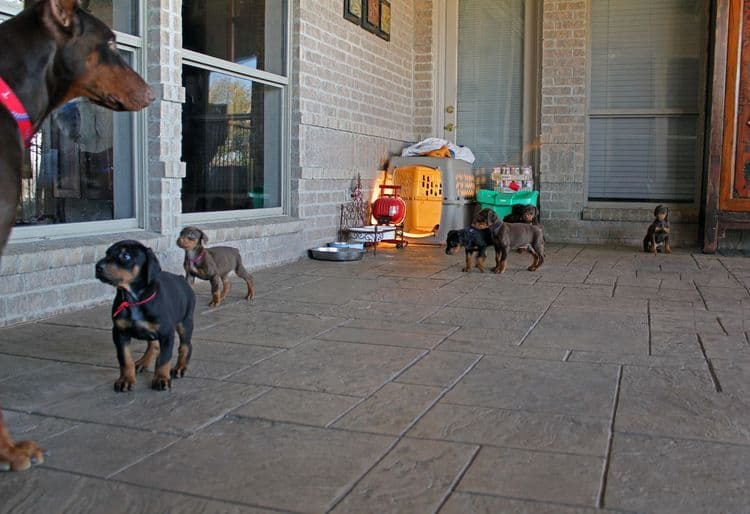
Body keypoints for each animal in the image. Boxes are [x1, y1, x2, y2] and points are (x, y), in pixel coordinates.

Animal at [95, 239, 197, 388]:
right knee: (153, 346)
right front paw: (126, 380)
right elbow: (125, 358)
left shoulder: (166, 333)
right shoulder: (119, 333)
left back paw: (180, 367)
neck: (134, 300)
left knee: (185, 346)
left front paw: (161, 378)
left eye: (125, 256)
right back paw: (143, 362)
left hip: (185, 321)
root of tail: (181, 278)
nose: (97, 267)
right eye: (107, 253)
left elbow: (164, 359)